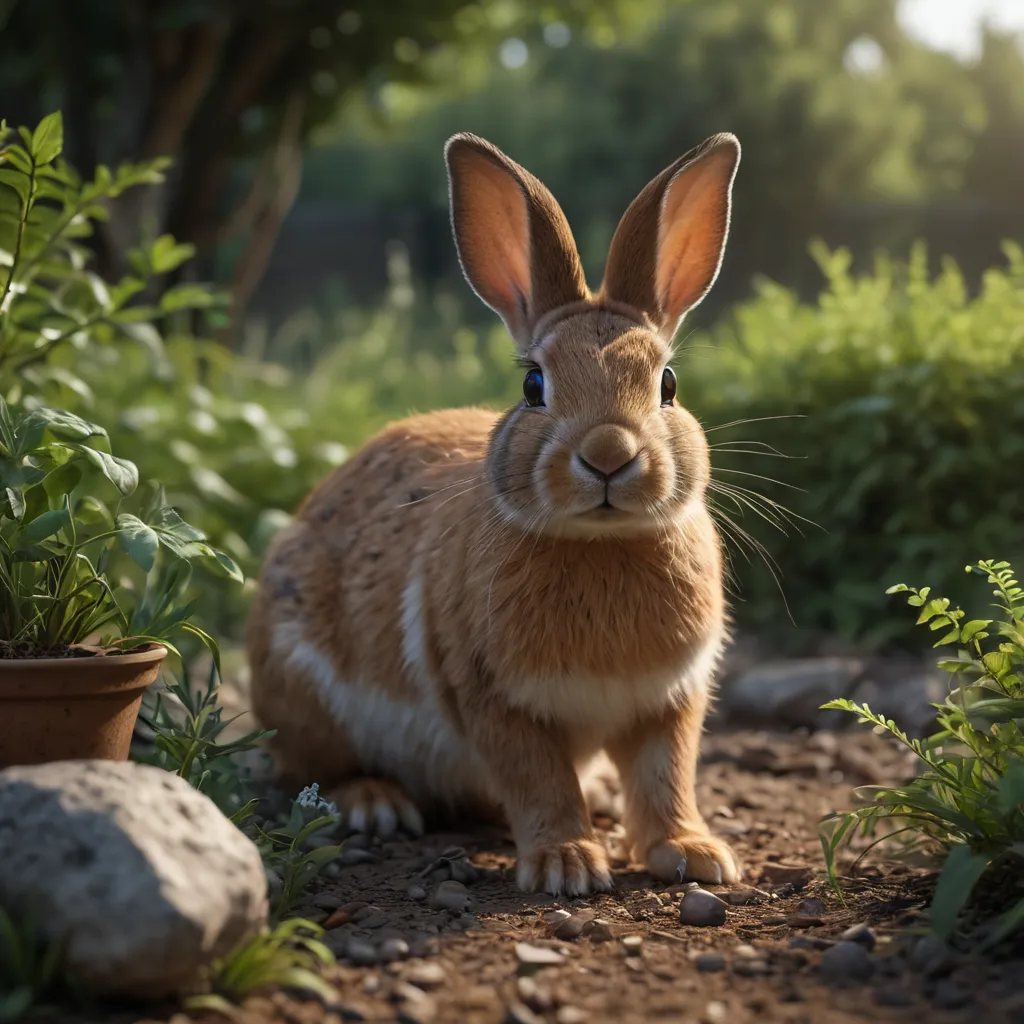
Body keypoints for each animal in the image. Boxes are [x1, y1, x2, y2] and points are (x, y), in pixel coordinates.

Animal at [246, 130, 743, 896]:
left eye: (668, 383)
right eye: (534, 385)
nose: (609, 454)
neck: (599, 542)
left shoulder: (669, 701)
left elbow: (667, 777)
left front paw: (694, 855)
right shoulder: (495, 701)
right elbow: (538, 781)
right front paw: (568, 865)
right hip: (304, 693)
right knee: (312, 770)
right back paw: (375, 805)